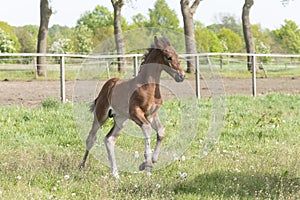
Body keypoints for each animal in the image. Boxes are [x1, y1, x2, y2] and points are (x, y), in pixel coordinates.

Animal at [78, 36, 184, 178]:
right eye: (169, 57)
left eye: (177, 56)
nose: (181, 76)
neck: (148, 87)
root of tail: (108, 84)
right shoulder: (136, 113)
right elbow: (147, 130)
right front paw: (147, 166)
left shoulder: (151, 114)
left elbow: (161, 132)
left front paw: (150, 161)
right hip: (101, 115)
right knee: (91, 138)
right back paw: (82, 166)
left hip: (121, 120)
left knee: (109, 140)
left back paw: (115, 174)